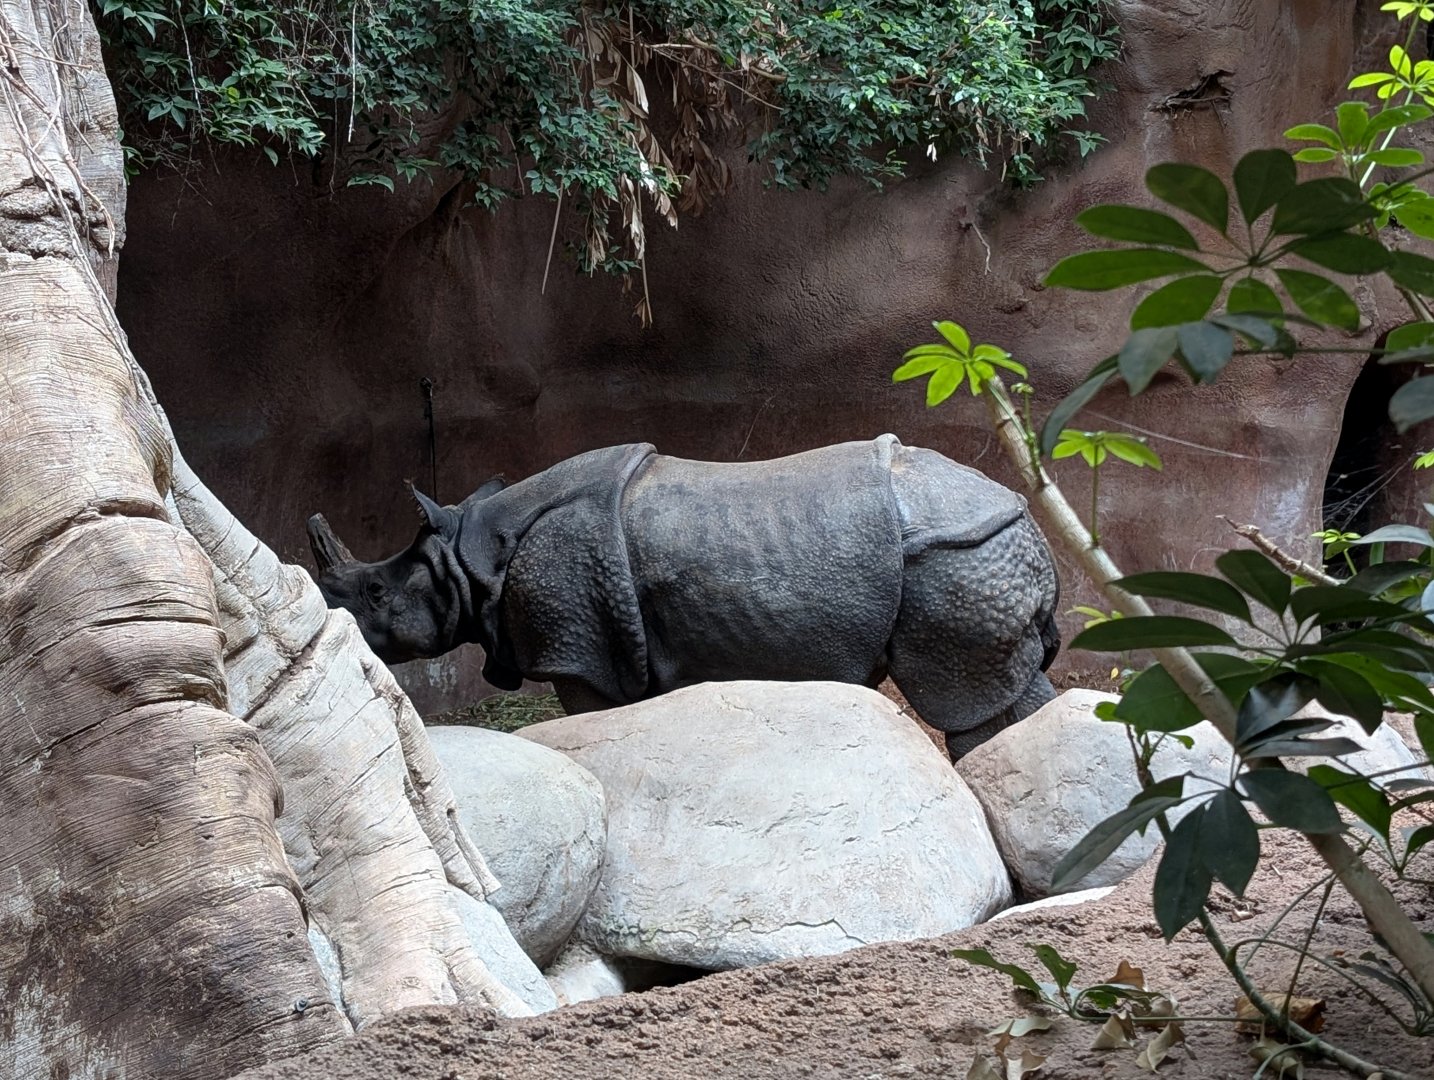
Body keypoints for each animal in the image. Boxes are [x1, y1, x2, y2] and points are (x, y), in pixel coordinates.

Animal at [307, 434, 1061, 759]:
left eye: (374, 592)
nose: (339, 622)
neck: (470, 559)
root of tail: (1030, 523)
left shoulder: (578, 647)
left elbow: (592, 718)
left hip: (957, 557)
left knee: (967, 702)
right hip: (974, 553)